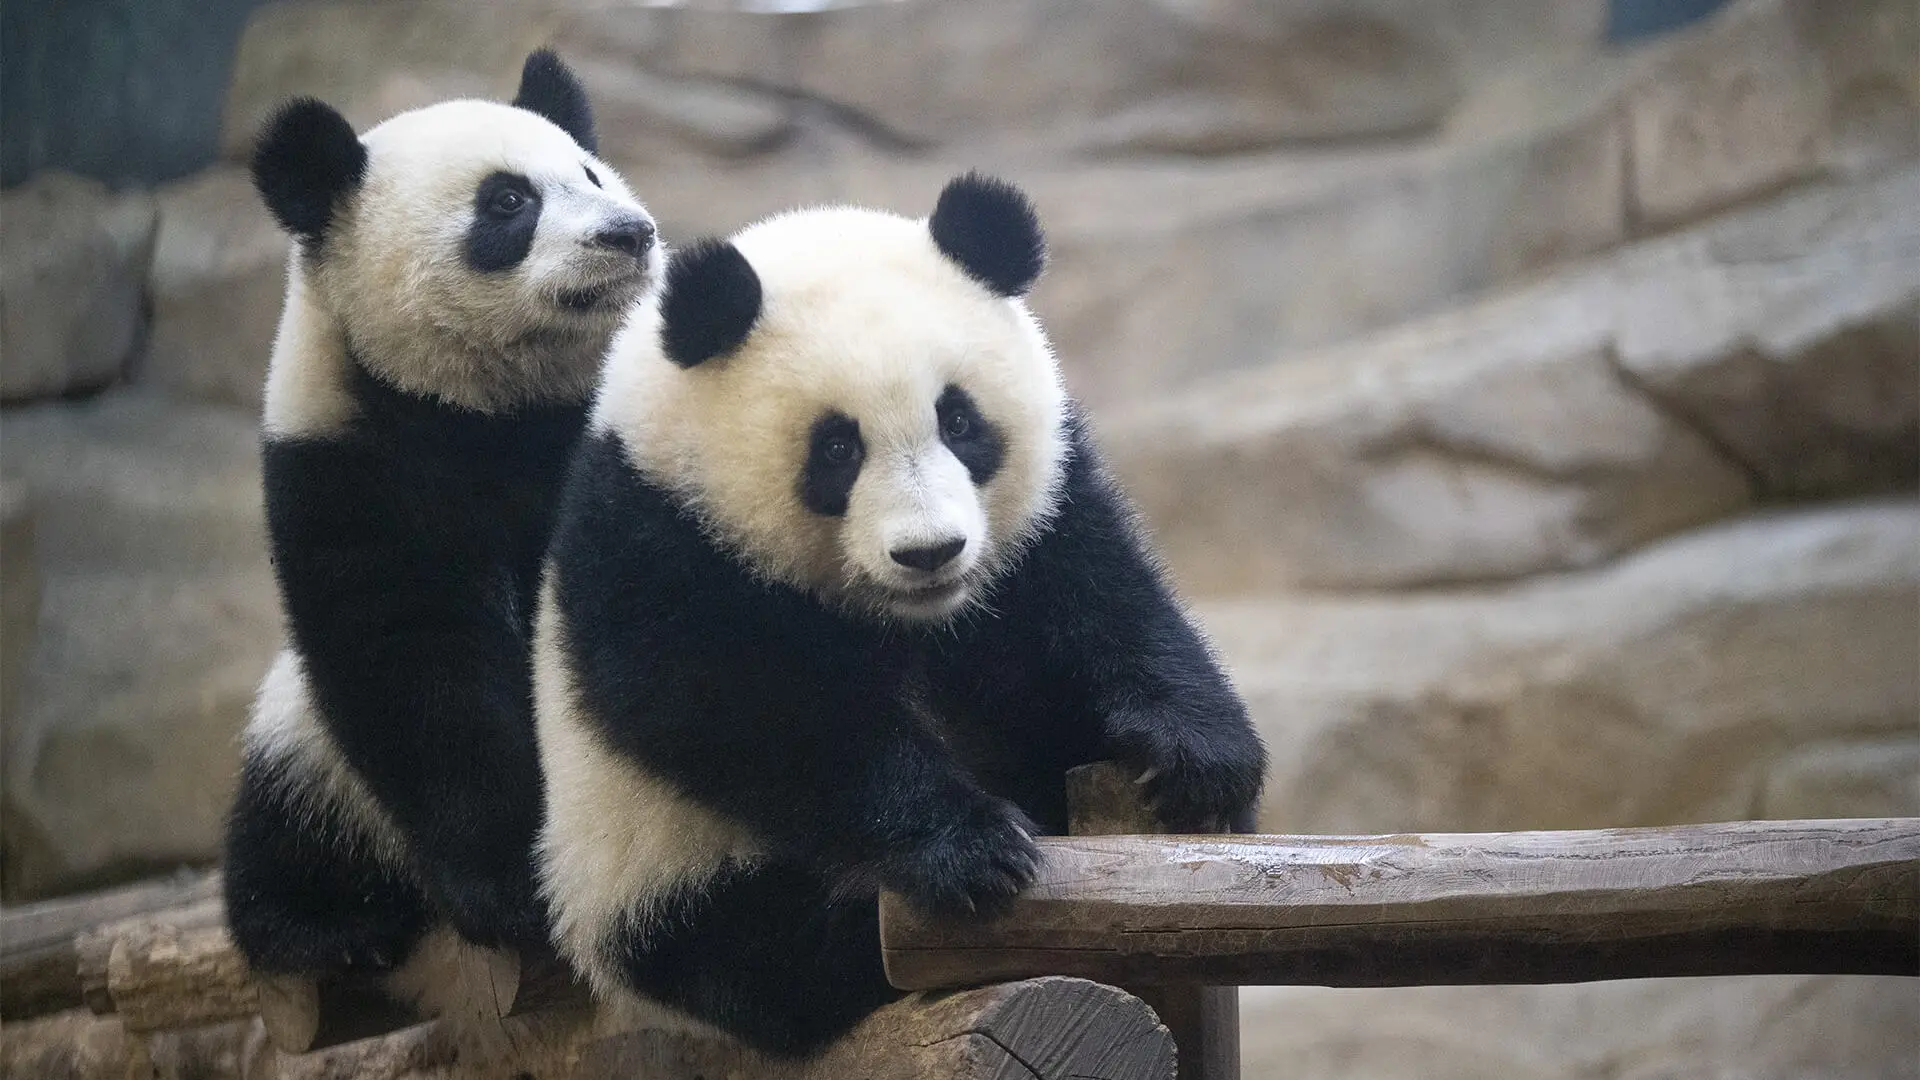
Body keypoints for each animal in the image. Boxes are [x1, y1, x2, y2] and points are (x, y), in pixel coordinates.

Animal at [219, 50, 660, 983]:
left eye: (591, 173)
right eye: (508, 201)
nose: (628, 233)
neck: (492, 406)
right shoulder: (353, 466)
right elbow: (418, 665)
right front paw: (512, 890)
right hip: (314, 758)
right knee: (285, 820)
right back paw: (326, 929)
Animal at [533, 170, 1267, 1053]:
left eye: (960, 420)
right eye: (836, 448)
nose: (930, 552)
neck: (909, 617)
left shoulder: (1043, 513)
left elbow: (1103, 595)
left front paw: (1199, 760)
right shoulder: (656, 533)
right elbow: (748, 707)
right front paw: (972, 849)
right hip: (653, 876)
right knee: (767, 950)